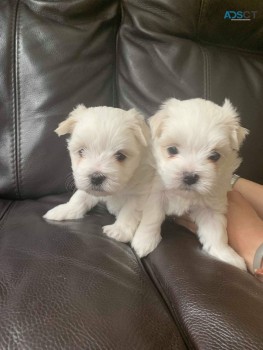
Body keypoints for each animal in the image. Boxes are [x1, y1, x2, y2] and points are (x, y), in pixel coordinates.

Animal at [44, 104, 154, 243]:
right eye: (81, 151)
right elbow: (80, 197)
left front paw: (119, 230)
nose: (96, 178)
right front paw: (65, 210)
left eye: (120, 156)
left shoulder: (140, 192)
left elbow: (130, 210)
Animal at [132, 98, 250, 270]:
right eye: (172, 150)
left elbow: (216, 232)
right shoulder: (155, 194)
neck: (184, 194)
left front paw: (226, 255)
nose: (189, 177)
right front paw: (144, 241)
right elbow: (152, 217)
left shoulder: (211, 207)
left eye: (214, 156)